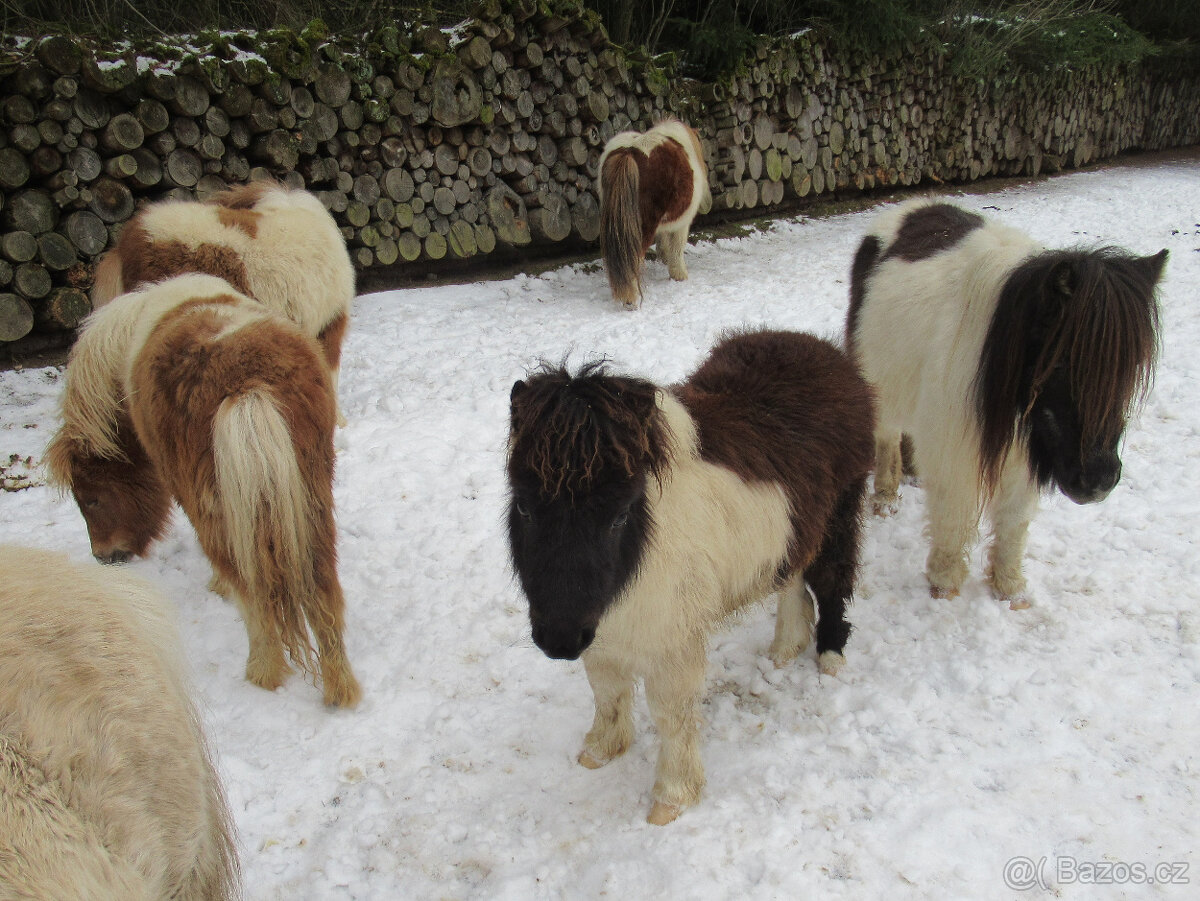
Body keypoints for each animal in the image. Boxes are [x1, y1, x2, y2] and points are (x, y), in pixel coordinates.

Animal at [45, 273, 362, 708]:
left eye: (89, 498)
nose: (105, 556)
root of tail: (248, 384)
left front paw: (217, 587)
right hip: (311, 500)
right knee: (322, 587)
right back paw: (340, 689)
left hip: (221, 511)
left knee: (252, 592)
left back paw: (261, 674)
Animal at [506, 329, 875, 824]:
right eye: (524, 506)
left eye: (621, 514)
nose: (558, 641)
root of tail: (826, 351)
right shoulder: (605, 629)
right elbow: (606, 690)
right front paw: (600, 751)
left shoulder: (671, 644)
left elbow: (671, 714)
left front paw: (671, 798)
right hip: (797, 526)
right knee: (794, 577)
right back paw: (785, 648)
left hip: (840, 513)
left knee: (834, 580)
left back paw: (830, 656)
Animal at [598, 118, 711, 309]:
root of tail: (630, 151)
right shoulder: (682, 222)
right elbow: (677, 246)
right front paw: (679, 274)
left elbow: (663, 238)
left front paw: (664, 257)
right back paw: (631, 298)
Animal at [847, 198, 1166, 604]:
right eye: (1061, 361)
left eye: (1132, 366)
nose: (1098, 481)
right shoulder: (956, 448)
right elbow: (954, 513)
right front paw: (944, 584)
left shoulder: (1026, 449)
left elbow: (1015, 520)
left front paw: (1009, 588)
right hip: (881, 381)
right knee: (887, 436)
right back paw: (886, 499)